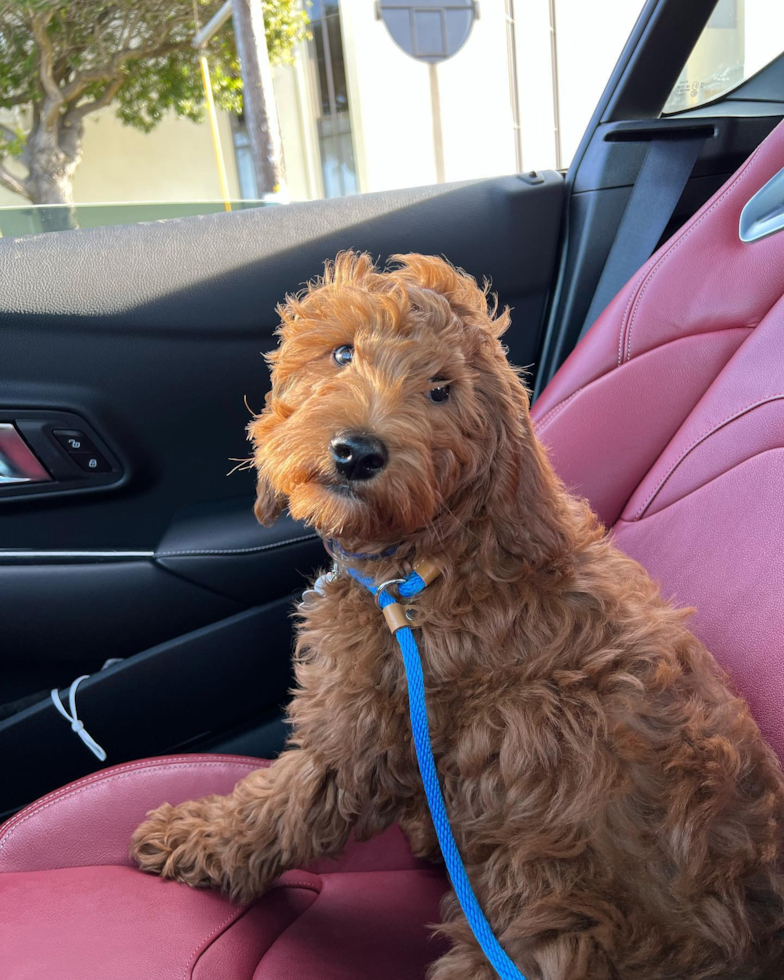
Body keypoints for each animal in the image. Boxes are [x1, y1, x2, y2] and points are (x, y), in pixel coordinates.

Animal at [132, 255, 784, 980]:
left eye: (441, 391)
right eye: (342, 352)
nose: (357, 452)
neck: (429, 561)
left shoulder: (364, 726)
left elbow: (283, 805)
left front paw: (196, 837)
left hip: (539, 925)